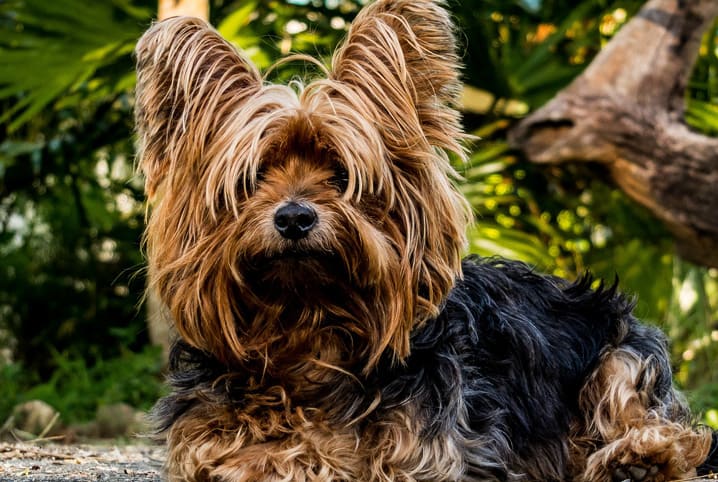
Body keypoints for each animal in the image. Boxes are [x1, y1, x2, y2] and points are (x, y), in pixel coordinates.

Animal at [135, 1, 718, 480]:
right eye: (254, 179)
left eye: (342, 175)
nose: (295, 217)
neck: (308, 326)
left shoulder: (427, 452)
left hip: (621, 349)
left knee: (660, 421)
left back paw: (637, 459)